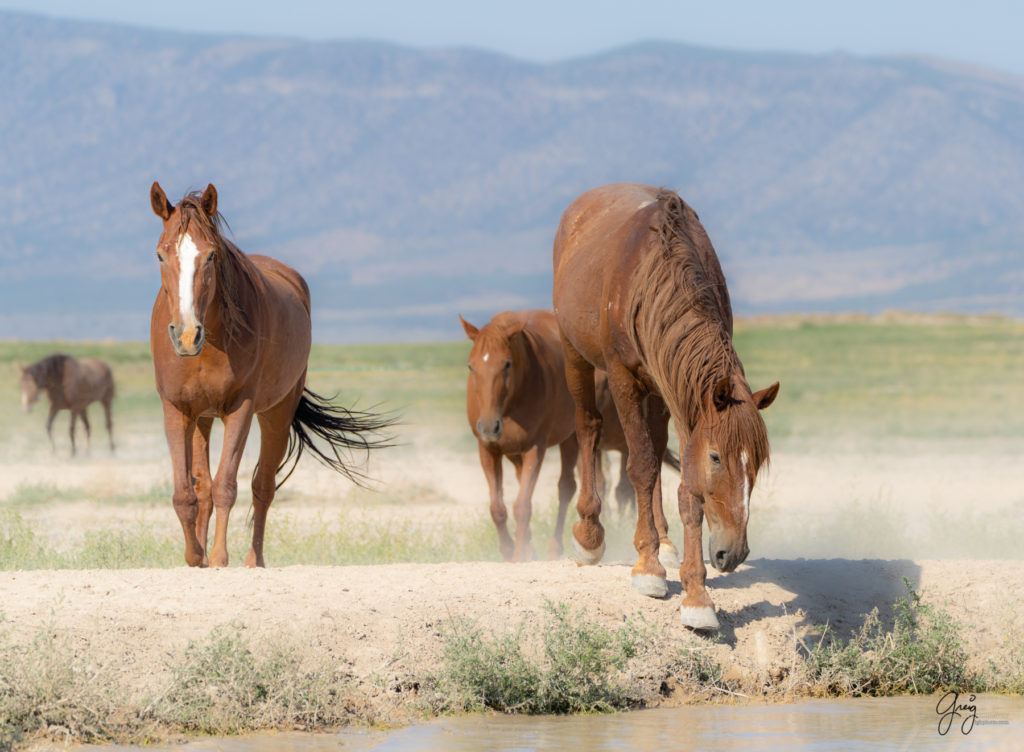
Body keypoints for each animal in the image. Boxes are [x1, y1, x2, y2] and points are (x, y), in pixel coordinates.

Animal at [149, 182, 391, 569]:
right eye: (161, 255)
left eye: (211, 256)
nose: (186, 336)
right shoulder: (177, 409)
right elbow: (186, 493)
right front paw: (195, 556)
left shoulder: (242, 409)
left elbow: (226, 485)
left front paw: (218, 558)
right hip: (203, 419)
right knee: (203, 487)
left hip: (277, 412)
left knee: (262, 486)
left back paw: (254, 560)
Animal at [464, 309, 679, 561]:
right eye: (471, 367)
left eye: (507, 364)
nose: (489, 426)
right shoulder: (488, 450)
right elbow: (497, 508)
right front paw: (510, 551)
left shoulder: (535, 449)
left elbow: (523, 506)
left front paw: (518, 556)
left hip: (570, 442)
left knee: (567, 489)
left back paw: (555, 546)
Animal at [557, 184, 778, 631]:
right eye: (717, 457)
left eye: (758, 464)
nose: (733, 552)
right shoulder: (624, 378)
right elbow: (641, 465)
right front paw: (648, 568)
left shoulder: (679, 391)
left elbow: (684, 486)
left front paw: (696, 596)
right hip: (576, 355)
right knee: (589, 427)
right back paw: (590, 534)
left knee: (658, 452)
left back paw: (665, 540)